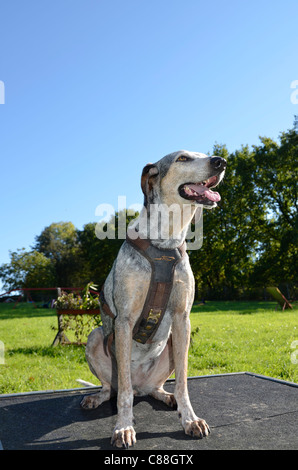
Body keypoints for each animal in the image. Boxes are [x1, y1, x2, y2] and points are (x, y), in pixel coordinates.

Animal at [79, 151, 226, 448]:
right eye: (183, 158)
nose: (221, 162)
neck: (166, 241)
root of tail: (141, 386)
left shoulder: (182, 320)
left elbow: (183, 383)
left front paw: (189, 419)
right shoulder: (124, 321)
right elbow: (122, 392)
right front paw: (123, 427)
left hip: (170, 347)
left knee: (156, 388)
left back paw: (166, 397)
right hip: (95, 337)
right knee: (113, 388)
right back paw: (98, 397)